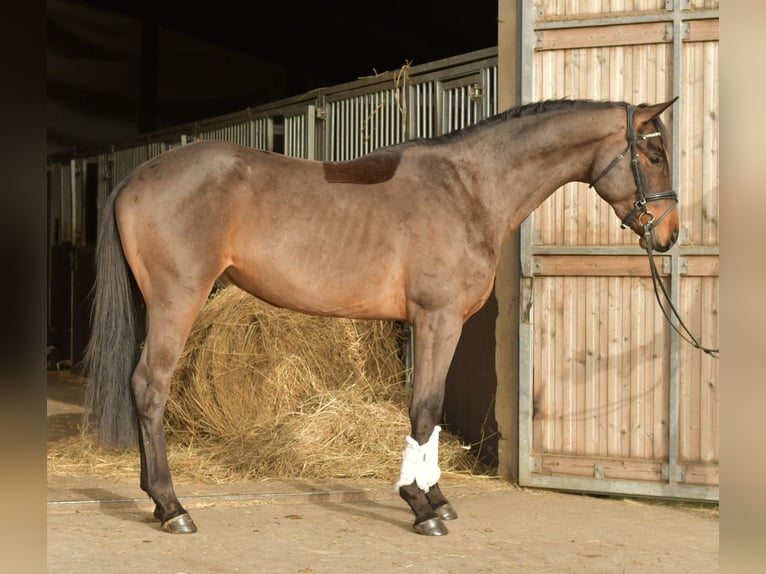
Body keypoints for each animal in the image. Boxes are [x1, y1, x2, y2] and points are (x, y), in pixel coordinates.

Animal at [83, 98, 679, 536]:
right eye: (654, 157)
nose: (671, 235)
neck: (467, 190)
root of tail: (137, 177)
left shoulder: (436, 325)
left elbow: (430, 412)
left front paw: (436, 496)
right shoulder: (437, 320)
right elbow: (425, 407)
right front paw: (421, 506)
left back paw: (157, 500)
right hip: (176, 301)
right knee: (150, 387)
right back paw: (172, 506)